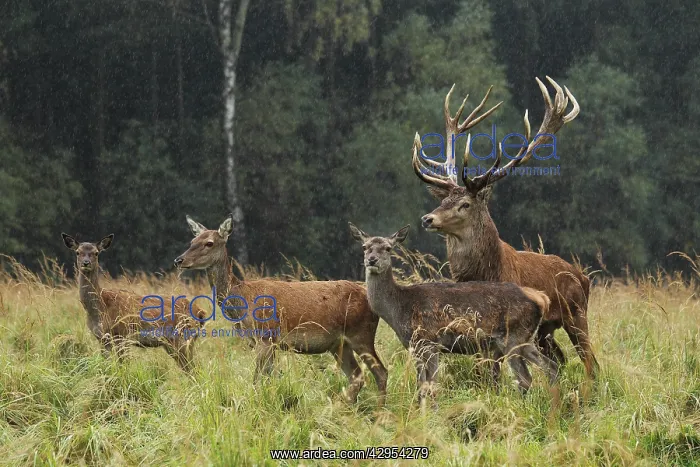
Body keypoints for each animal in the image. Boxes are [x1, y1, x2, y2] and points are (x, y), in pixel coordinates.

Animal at [61, 233, 206, 371]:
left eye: (96, 253)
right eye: (78, 252)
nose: (86, 263)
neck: (101, 308)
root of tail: (200, 312)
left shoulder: (121, 334)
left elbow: (123, 366)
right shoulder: (102, 339)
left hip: (181, 337)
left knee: (193, 369)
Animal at [173, 214, 388, 407]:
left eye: (209, 243)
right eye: (192, 240)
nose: (179, 260)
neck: (242, 302)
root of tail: (370, 298)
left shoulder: (266, 336)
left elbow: (257, 380)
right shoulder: (266, 342)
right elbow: (269, 379)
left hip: (361, 334)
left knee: (380, 372)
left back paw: (379, 412)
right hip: (339, 344)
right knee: (357, 376)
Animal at [349, 223, 559, 406]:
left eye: (388, 248)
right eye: (365, 247)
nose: (371, 260)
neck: (400, 308)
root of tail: (541, 298)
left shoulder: (430, 342)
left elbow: (432, 386)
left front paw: (432, 415)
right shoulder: (415, 347)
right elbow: (420, 386)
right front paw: (418, 413)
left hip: (512, 337)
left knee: (525, 378)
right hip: (525, 338)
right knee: (551, 367)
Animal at [411, 76, 599, 381]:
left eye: (464, 204)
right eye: (443, 200)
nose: (428, 219)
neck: (487, 271)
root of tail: (583, 276)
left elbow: (494, 374)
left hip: (577, 313)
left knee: (590, 360)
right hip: (544, 330)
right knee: (559, 359)